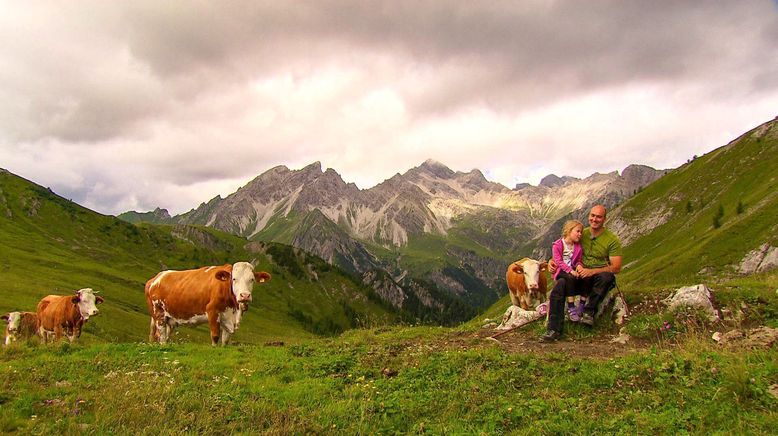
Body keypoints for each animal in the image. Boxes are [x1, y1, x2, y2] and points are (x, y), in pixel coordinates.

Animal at [144, 260, 272, 346]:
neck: (234, 310)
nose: (245, 295)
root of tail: (155, 279)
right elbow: (215, 336)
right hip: (159, 314)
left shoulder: (228, 319)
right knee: (161, 336)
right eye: (234, 279)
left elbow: (225, 340)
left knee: (164, 336)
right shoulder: (212, 311)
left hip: (170, 318)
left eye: (252, 279)